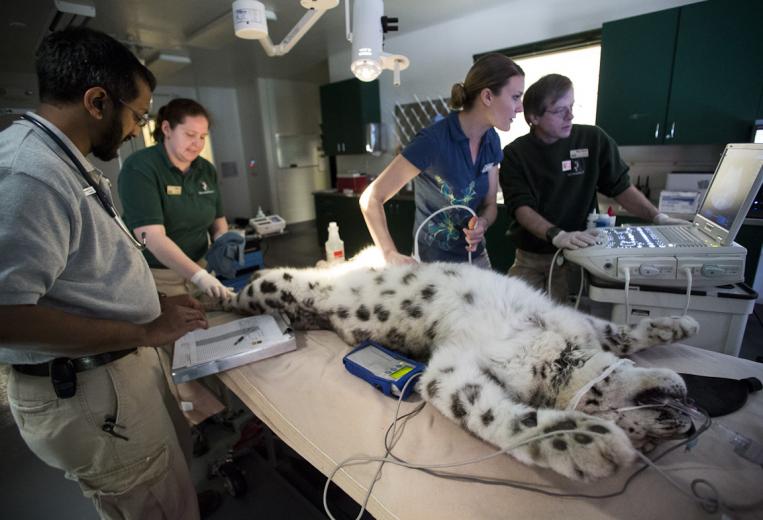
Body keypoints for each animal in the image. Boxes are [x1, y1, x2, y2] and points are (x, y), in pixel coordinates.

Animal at [225, 249, 698, 482]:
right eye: (641, 433)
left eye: (650, 444)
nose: (686, 427)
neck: (554, 341)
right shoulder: (450, 369)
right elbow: (489, 415)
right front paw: (582, 443)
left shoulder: (575, 320)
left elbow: (619, 333)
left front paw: (678, 323)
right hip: (278, 286)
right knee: (245, 293)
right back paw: (219, 291)